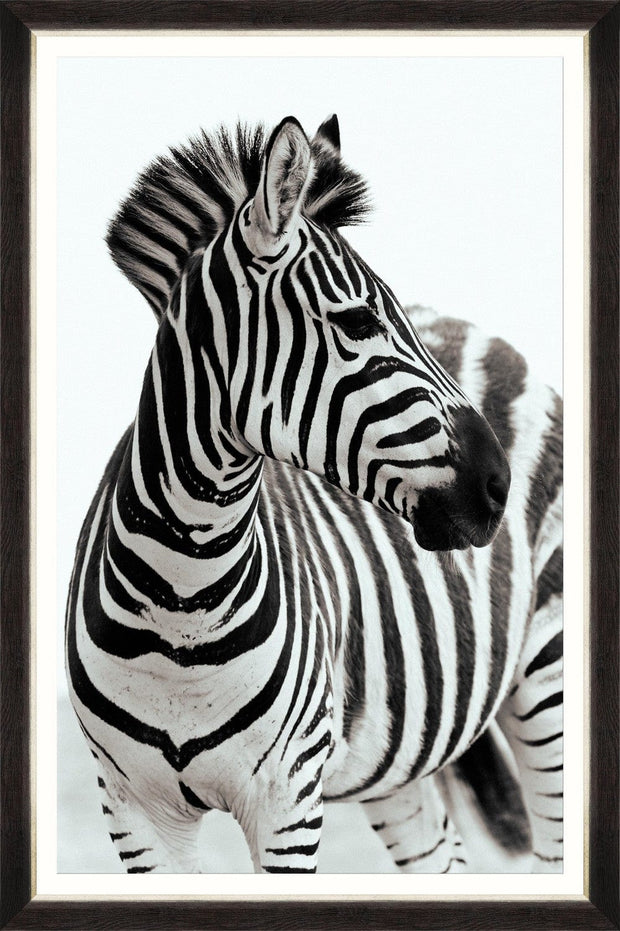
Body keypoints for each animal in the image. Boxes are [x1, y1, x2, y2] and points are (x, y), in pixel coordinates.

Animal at [66, 115, 563, 874]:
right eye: (357, 322)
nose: (495, 483)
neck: (179, 606)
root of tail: (476, 329)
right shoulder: (133, 812)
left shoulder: (288, 799)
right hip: (396, 755)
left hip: (548, 677)